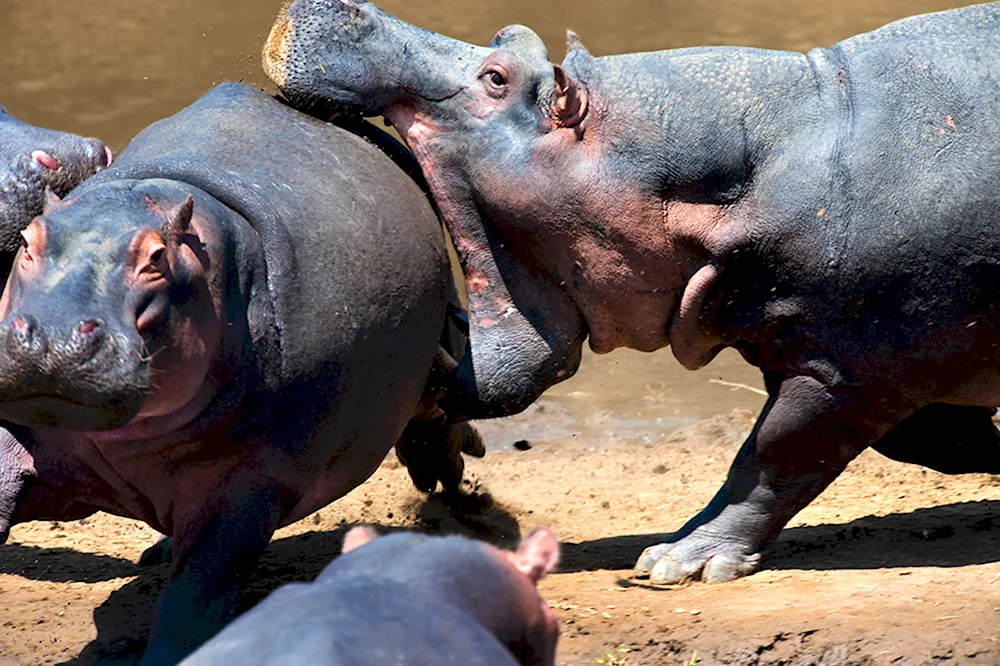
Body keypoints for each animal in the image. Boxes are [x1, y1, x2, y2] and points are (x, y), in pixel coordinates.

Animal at [0, 81, 486, 660]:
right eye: (27, 241)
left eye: (157, 258)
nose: (53, 338)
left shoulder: (243, 491)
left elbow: (195, 599)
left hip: (440, 347)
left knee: (439, 410)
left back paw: (451, 485)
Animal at [264, 0, 1000, 580]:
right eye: (510, 32)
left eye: (496, 77)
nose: (350, 4)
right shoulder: (822, 348)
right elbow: (925, 441)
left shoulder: (844, 370)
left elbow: (772, 458)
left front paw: (676, 562)